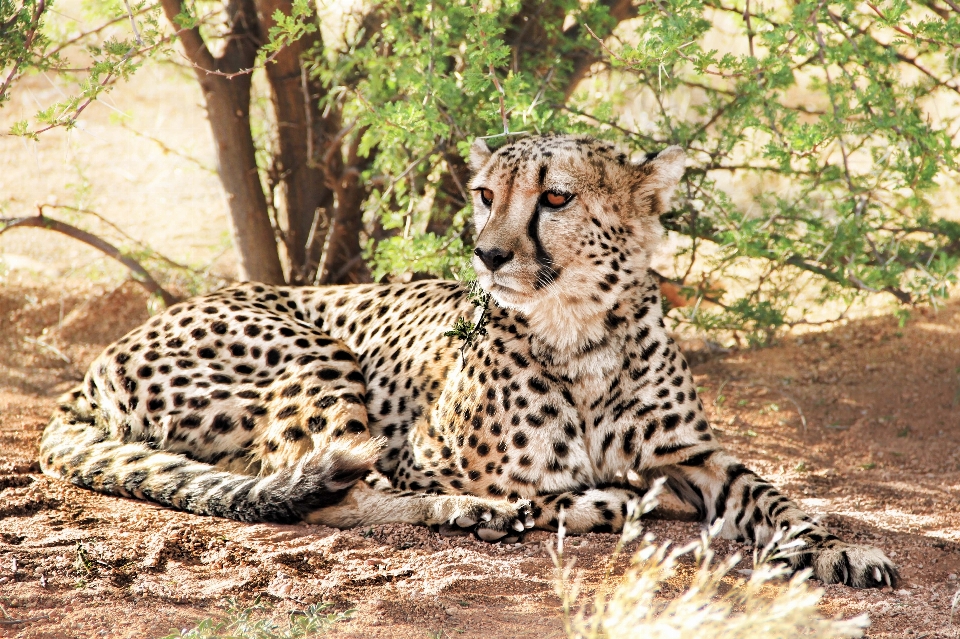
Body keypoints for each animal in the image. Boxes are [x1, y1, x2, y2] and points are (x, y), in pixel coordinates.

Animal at [37, 135, 896, 592]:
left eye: (555, 197)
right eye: (485, 193)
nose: (486, 253)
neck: (581, 331)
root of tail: (91, 370)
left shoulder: (692, 454)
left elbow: (773, 493)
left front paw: (836, 546)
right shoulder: (417, 453)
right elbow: (549, 490)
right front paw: (564, 502)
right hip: (313, 352)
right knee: (317, 489)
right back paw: (481, 513)